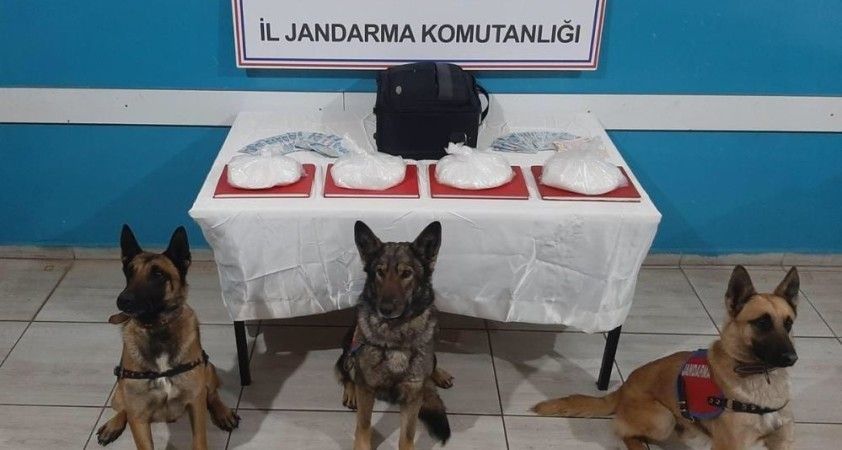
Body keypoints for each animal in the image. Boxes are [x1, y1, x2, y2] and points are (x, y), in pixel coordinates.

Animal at [96, 225, 239, 449]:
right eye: (129, 272)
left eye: (158, 274)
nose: (122, 300)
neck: (157, 329)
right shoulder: (139, 418)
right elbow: (136, 425)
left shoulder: (195, 403)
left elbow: (199, 440)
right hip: (118, 394)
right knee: (122, 408)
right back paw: (113, 425)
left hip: (209, 370)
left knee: (212, 393)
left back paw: (223, 413)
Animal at [335, 221, 453, 450]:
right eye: (379, 272)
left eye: (406, 274)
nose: (386, 309)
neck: (395, 333)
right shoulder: (367, 389)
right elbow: (363, 426)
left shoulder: (412, 397)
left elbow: (407, 435)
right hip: (348, 349)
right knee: (346, 371)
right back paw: (350, 391)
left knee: (432, 365)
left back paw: (439, 374)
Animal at [533, 265, 800, 450]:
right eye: (762, 322)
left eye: (788, 324)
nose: (792, 358)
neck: (760, 379)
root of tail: (622, 389)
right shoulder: (731, 445)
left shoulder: (783, 442)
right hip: (663, 419)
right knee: (624, 432)